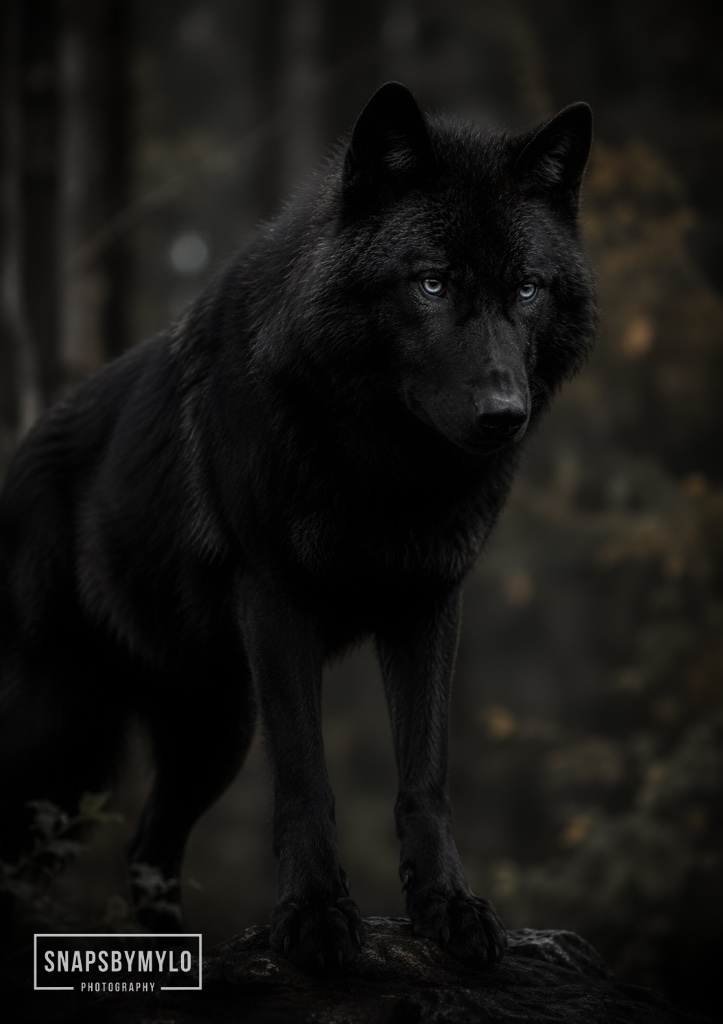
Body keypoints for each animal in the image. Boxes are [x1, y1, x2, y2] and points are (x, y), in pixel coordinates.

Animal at [0, 83, 595, 969]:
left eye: (526, 289)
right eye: (431, 284)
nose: (503, 414)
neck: (386, 468)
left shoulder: (427, 604)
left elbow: (425, 778)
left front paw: (447, 910)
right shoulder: (277, 601)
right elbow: (306, 782)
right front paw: (314, 919)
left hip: (207, 730)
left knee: (146, 848)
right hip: (61, 744)